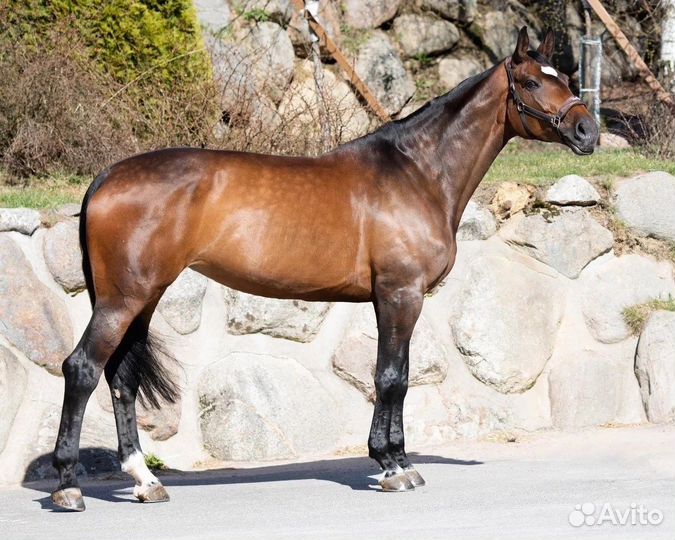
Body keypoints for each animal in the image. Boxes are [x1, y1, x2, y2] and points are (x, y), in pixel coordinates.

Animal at [51, 26, 598, 511]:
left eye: (568, 80)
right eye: (531, 83)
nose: (587, 131)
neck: (417, 172)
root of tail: (107, 177)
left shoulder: (392, 298)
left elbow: (398, 375)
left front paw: (399, 460)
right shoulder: (401, 294)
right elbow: (391, 377)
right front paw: (392, 466)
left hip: (142, 298)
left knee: (121, 378)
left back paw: (145, 481)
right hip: (124, 299)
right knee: (82, 368)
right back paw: (68, 487)